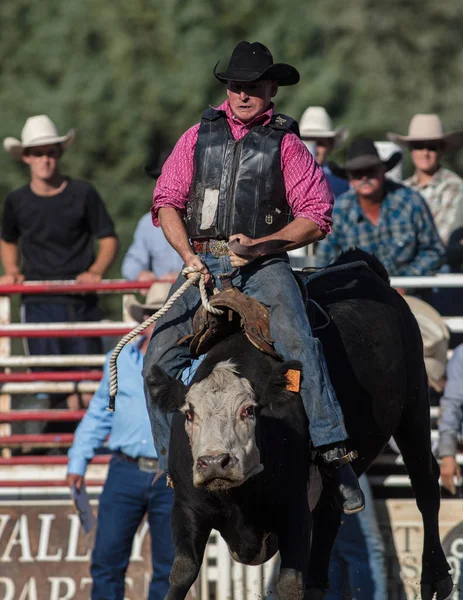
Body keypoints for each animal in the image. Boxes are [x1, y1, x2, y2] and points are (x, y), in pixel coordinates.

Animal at [148, 250, 454, 600]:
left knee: (425, 483)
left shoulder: (293, 510)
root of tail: (366, 269)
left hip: (414, 404)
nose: (214, 462)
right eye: (189, 414)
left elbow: (289, 584)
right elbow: (182, 575)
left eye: (249, 410)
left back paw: (436, 577)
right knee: (330, 515)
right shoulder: (187, 511)